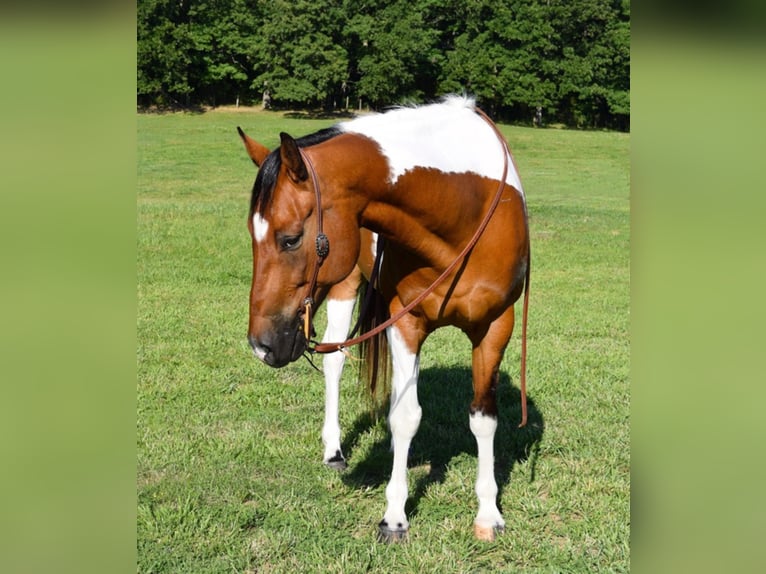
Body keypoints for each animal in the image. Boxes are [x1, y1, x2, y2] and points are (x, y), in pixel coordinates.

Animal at [237, 95, 532, 544]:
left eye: (290, 239)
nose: (261, 345)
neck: (463, 210)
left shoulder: (496, 326)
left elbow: (483, 418)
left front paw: (488, 513)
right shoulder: (405, 322)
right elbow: (406, 416)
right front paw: (395, 516)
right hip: (340, 285)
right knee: (335, 361)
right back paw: (334, 449)